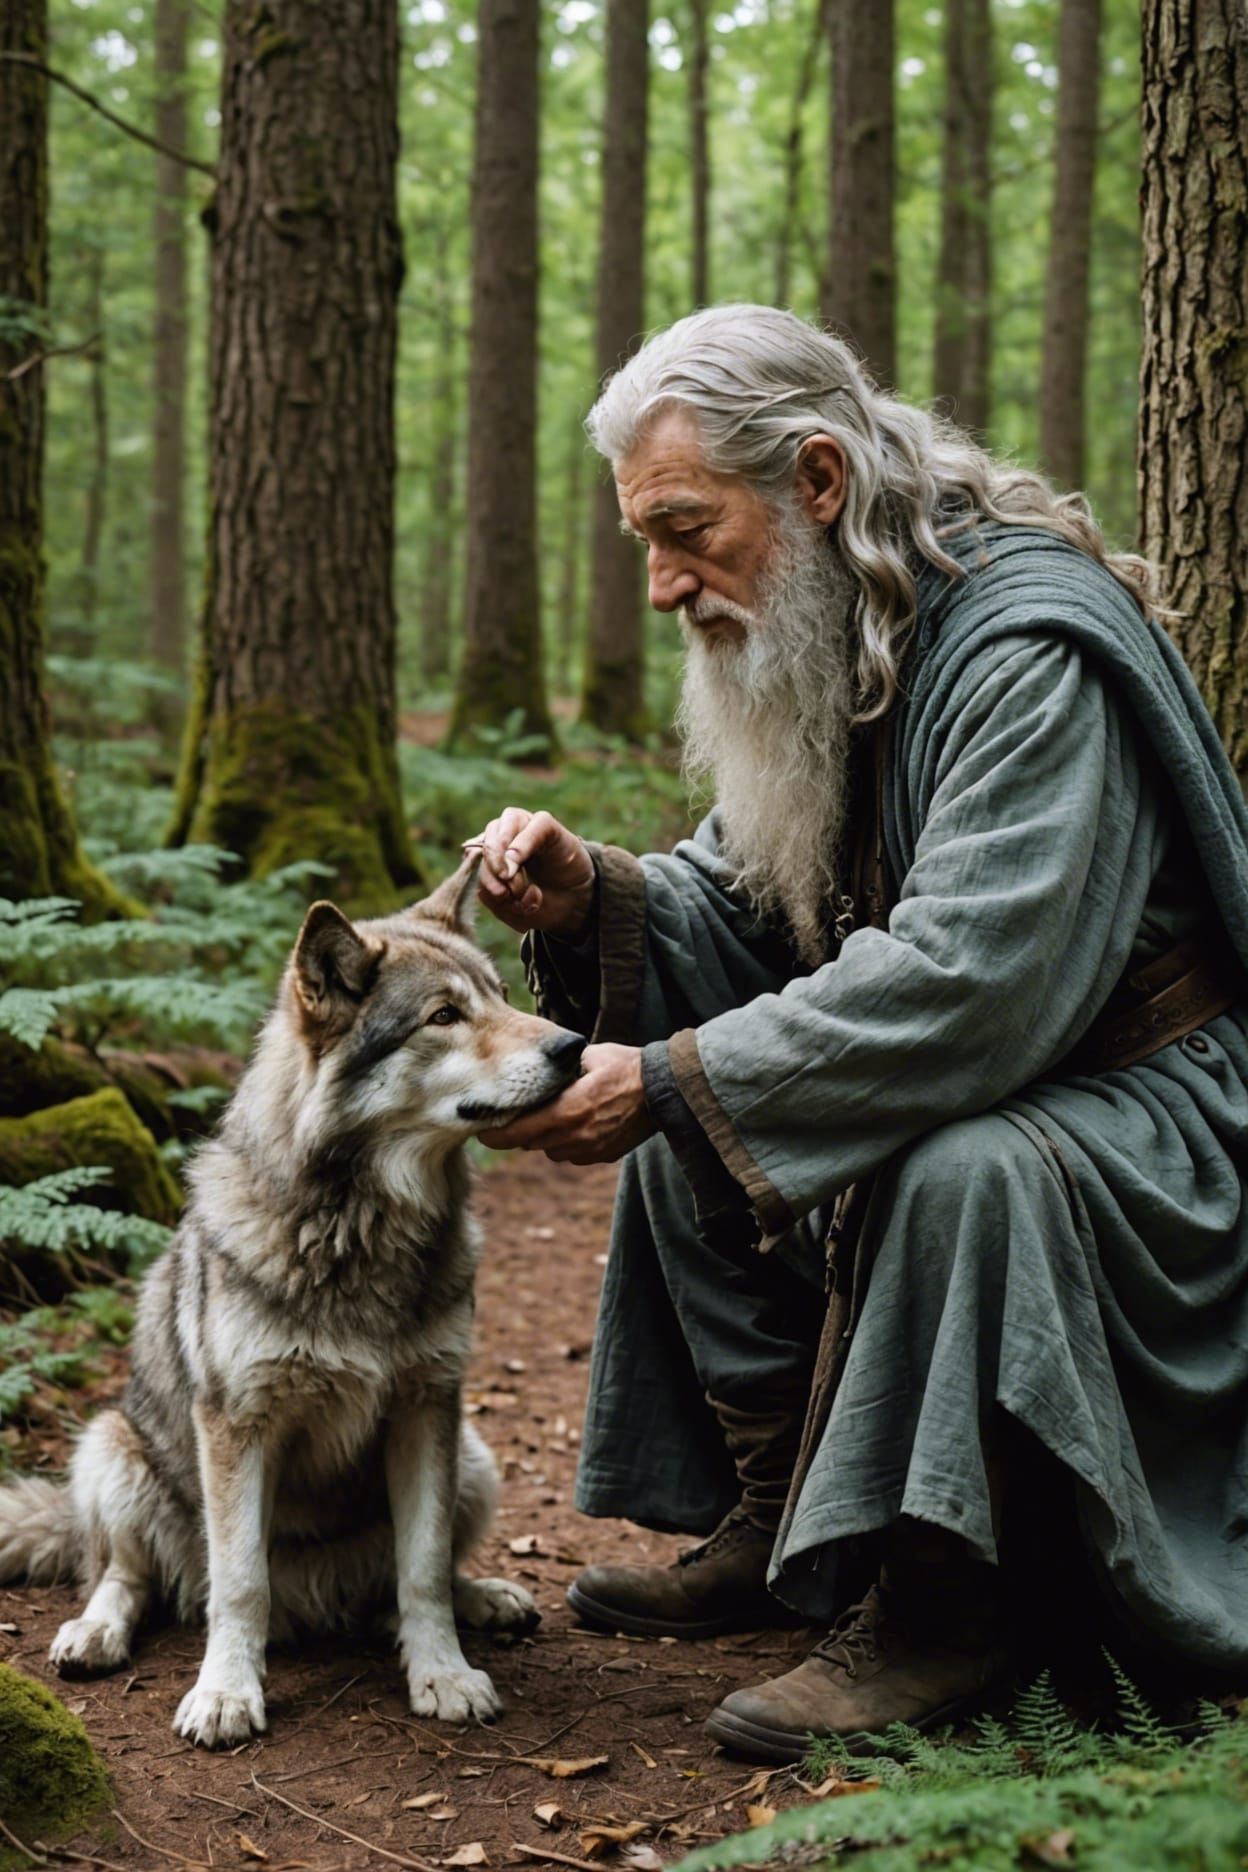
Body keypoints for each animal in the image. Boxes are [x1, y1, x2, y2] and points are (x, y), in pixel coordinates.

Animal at [0, 857, 586, 1748]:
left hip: (474, 1458)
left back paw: (482, 1599)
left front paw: (444, 1675)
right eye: (444, 1016)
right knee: (126, 1578)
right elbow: (240, 1581)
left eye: (501, 995)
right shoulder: (240, 1426)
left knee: (415, 1578)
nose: (574, 1046)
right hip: (112, 1450)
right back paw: (94, 1634)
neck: (357, 1232)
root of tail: (319, 1603)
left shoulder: (427, 1406)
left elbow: (423, 1570)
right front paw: (225, 1694)